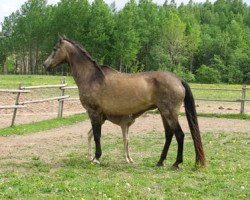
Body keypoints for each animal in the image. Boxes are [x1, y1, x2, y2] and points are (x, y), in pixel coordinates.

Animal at [43, 36, 207, 168]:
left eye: (54, 49)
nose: (45, 65)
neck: (92, 77)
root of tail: (178, 79)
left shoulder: (94, 113)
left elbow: (97, 135)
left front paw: (96, 158)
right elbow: (96, 135)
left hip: (169, 113)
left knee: (179, 135)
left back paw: (176, 163)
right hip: (163, 113)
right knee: (169, 135)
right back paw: (160, 162)